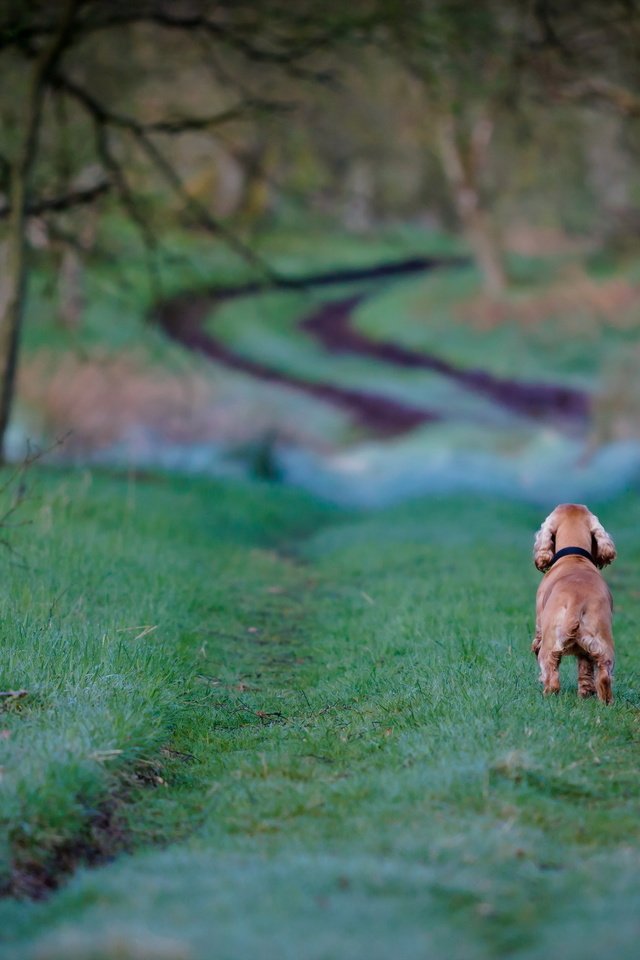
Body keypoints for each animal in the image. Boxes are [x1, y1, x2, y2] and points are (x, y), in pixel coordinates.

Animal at [532, 502, 616, 704]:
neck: (574, 557)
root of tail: (577, 601)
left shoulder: (539, 622)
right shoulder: (585, 650)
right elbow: (585, 669)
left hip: (550, 642)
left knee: (551, 674)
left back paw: (547, 696)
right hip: (602, 642)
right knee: (603, 675)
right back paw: (603, 701)